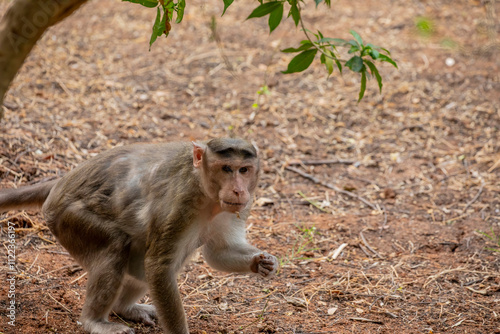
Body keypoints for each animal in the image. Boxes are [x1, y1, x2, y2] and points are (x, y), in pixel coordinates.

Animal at [0, 138, 278, 334]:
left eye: (244, 170)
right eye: (227, 168)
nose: (238, 190)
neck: (206, 192)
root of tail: (61, 183)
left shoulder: (239, 206)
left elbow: (217, 252)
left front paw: (261, 262)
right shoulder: (181, 203)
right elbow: (159, 266)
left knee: (140, 264)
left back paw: (124, 308)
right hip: (67, 218)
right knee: (117, 246)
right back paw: (93, 321)